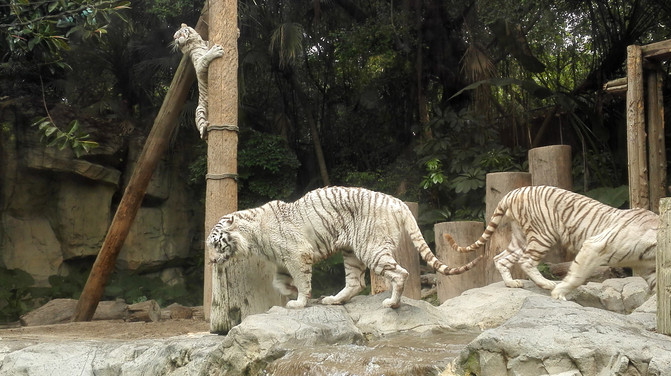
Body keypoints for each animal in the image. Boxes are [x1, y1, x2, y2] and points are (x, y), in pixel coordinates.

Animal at [207, 186, 480, 308]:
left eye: (216, 244)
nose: (210, 261)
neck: (252, 236)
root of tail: (398, 202)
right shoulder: (283, 261)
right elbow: (279, 282)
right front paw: (291, 291)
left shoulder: (297, 255)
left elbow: (302, 281)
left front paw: (299, 301)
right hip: (351, 253)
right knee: (356, 283)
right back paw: (333, 300)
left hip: (371, 249)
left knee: (400, 273)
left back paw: (391, 303)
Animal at [444, 185, 660, 300]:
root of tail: (513, 192)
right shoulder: (595, 246)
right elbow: (577, 276)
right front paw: (559, 293)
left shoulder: (648, 268)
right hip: (543, 235)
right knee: (526, 261)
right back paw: (547, 284)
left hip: (521, 238)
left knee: (501, 258)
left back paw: (512, 283)